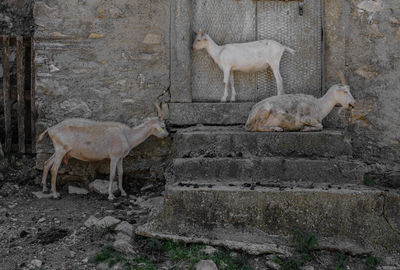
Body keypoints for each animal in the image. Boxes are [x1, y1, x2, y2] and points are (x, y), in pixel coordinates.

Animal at [38, 103, 169, 200]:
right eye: (162, 126)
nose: (167, 135)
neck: (127, 135)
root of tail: (50, 129)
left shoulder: (120, 157)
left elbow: (121, 173)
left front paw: (123, 192)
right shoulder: (114, 156)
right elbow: (112, 174)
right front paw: (110, 195)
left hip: (59, 150)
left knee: (46, 163)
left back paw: (44, 188)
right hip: (61, 149)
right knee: (54, 169)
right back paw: (55, 194)